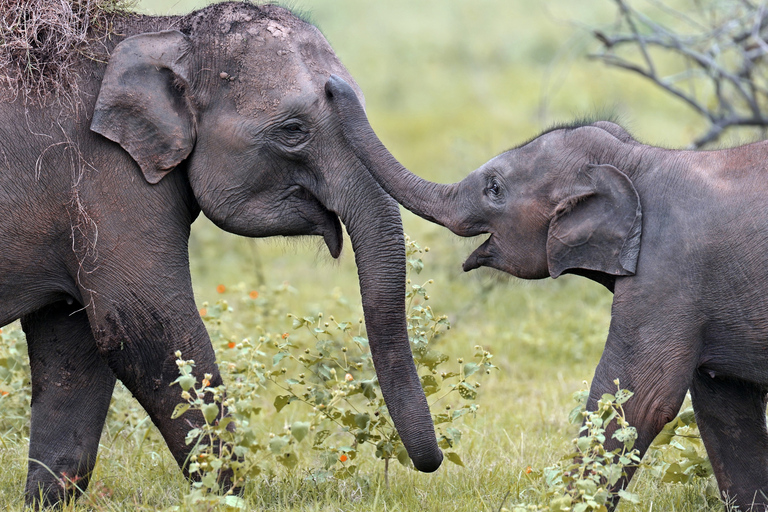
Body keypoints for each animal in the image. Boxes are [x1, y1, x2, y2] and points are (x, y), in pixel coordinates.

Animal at [326, 74, 768, 510]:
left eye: (494, 188)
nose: (332, 86)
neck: (635, 159)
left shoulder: (667, 275)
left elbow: (638, 399)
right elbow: (725, 409)